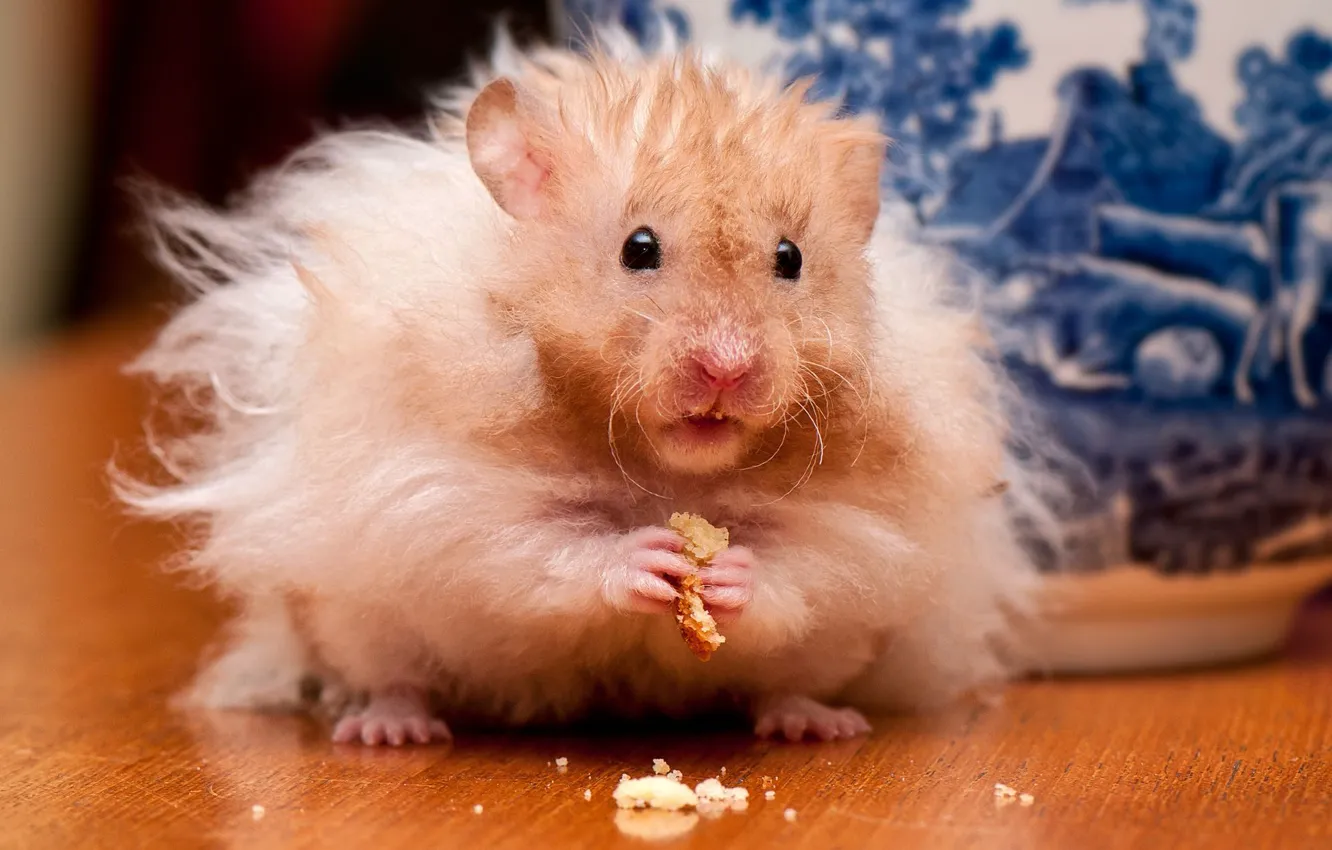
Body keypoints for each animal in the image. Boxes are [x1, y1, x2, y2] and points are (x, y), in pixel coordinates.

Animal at [115, 26, 1050, 746]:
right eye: (639, 248)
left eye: (789, 259)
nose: (728, 368)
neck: (666, 467)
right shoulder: (444, 499)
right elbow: (539, 550)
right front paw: (649, 558)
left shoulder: (868, 532)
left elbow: (802, 565)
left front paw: (728, 574)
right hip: (354, 615)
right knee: (392, 674)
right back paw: (389, 729)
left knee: (786, 681)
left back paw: (817, 723)